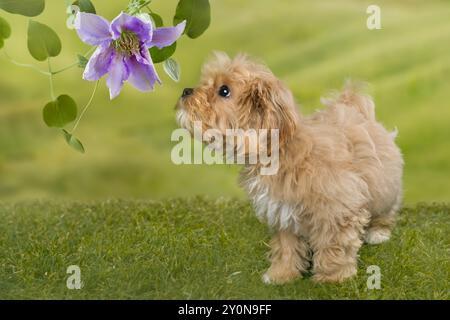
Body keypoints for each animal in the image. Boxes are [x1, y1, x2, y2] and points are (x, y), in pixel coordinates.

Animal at [176, 53, 404, 284]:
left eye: (224, 90)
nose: (186, 91)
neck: (278, 150)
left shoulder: (337, 207)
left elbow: (334, 244)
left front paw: (331, 278)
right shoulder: (282, 211)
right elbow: (286, 246)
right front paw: (282, 274)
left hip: (384, 185)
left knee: (386, 208)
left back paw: (379, 232)